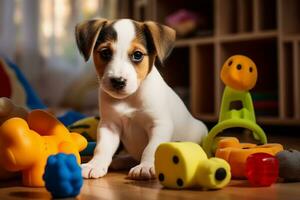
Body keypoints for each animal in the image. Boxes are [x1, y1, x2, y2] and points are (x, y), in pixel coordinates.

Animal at [75, 18, 207, 180]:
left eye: (137, 55)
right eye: (105, 53)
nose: (118, 81)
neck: (129, 98)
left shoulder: (159, 125)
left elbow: (151, 148)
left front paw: (146, 166)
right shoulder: (109, 126)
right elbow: (102, 148)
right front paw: (95, 165)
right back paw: (120, 160)